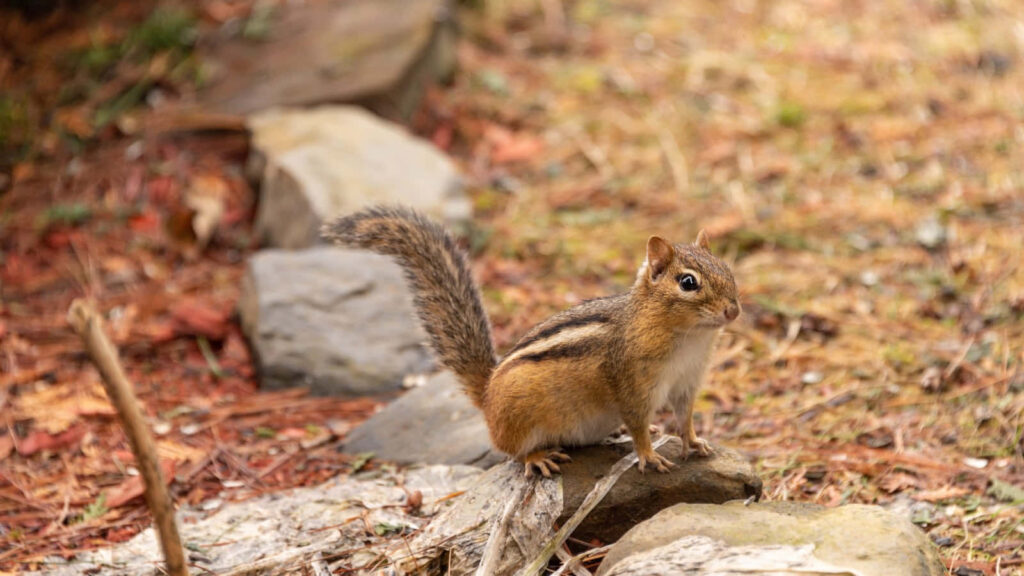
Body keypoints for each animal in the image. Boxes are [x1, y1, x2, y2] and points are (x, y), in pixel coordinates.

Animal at [323, 206, 740, 477]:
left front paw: (694, 442)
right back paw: (537, 459)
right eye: (688, 282)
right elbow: (637, 421)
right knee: (510, 451)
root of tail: (488, 394)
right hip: (519, 420)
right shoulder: (632, 384)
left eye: (729, 269)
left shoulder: (687, 382)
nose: (734, 311)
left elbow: (684, 416)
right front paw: (648, 455)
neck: (689, 339)